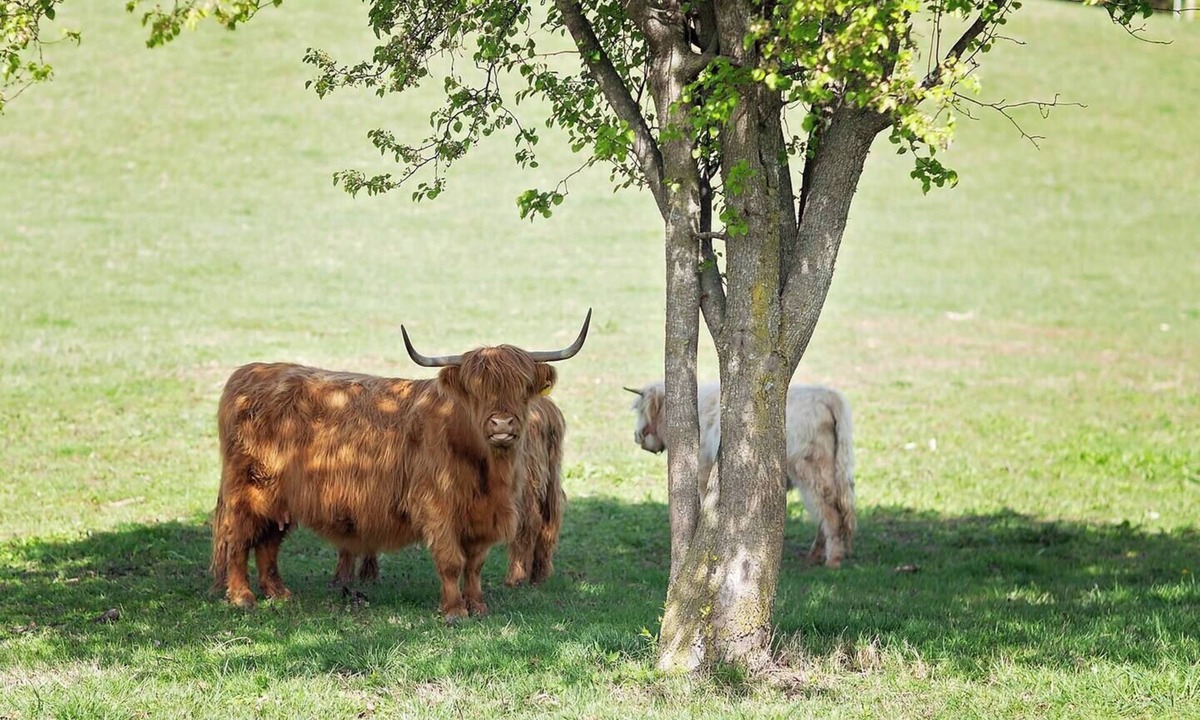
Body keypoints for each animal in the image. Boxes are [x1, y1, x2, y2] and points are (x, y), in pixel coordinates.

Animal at [332, 394, 567, 589]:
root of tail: (547, 410)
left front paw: (350, 575)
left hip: (522, 487)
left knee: (530, 523)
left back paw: (515, 578)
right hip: (550, 481)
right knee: (549, 522)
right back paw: (539, 575)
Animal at [626, 380, 856, 568]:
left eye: (640, 410)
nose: (637, 437)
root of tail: (825, 394)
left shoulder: (704, 470)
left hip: (811, 473)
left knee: (829, 512)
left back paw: (833, 560)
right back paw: (815, 555)